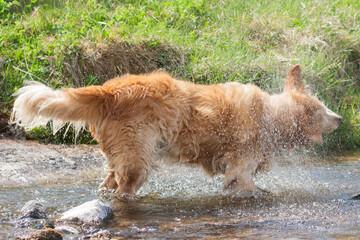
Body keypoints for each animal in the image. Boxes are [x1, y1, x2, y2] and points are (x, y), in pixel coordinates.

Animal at [11, 64, 344, 198]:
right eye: (323, 111)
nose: (341, 118)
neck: (271, 117)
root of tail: (109, 91)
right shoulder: (239, 170)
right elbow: (250, 186)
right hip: (138, 160)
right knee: (124, 190)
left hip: (120, 157)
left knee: (107, 184)